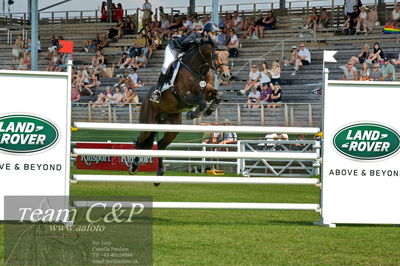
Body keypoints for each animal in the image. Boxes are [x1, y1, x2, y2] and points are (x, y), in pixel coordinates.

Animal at [128, 36, 228, 177]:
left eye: (228, 54)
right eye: (215, 55)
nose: (226, 75)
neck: (198, 70)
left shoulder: (208, 93)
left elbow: (218, 94)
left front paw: (209, 110)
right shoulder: (185, 96)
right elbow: (201, 102)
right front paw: (193, 113)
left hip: (173, 127)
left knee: (160, 145)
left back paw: (160, 172)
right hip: (148, 122)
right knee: (141, 141)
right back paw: (133, 167)